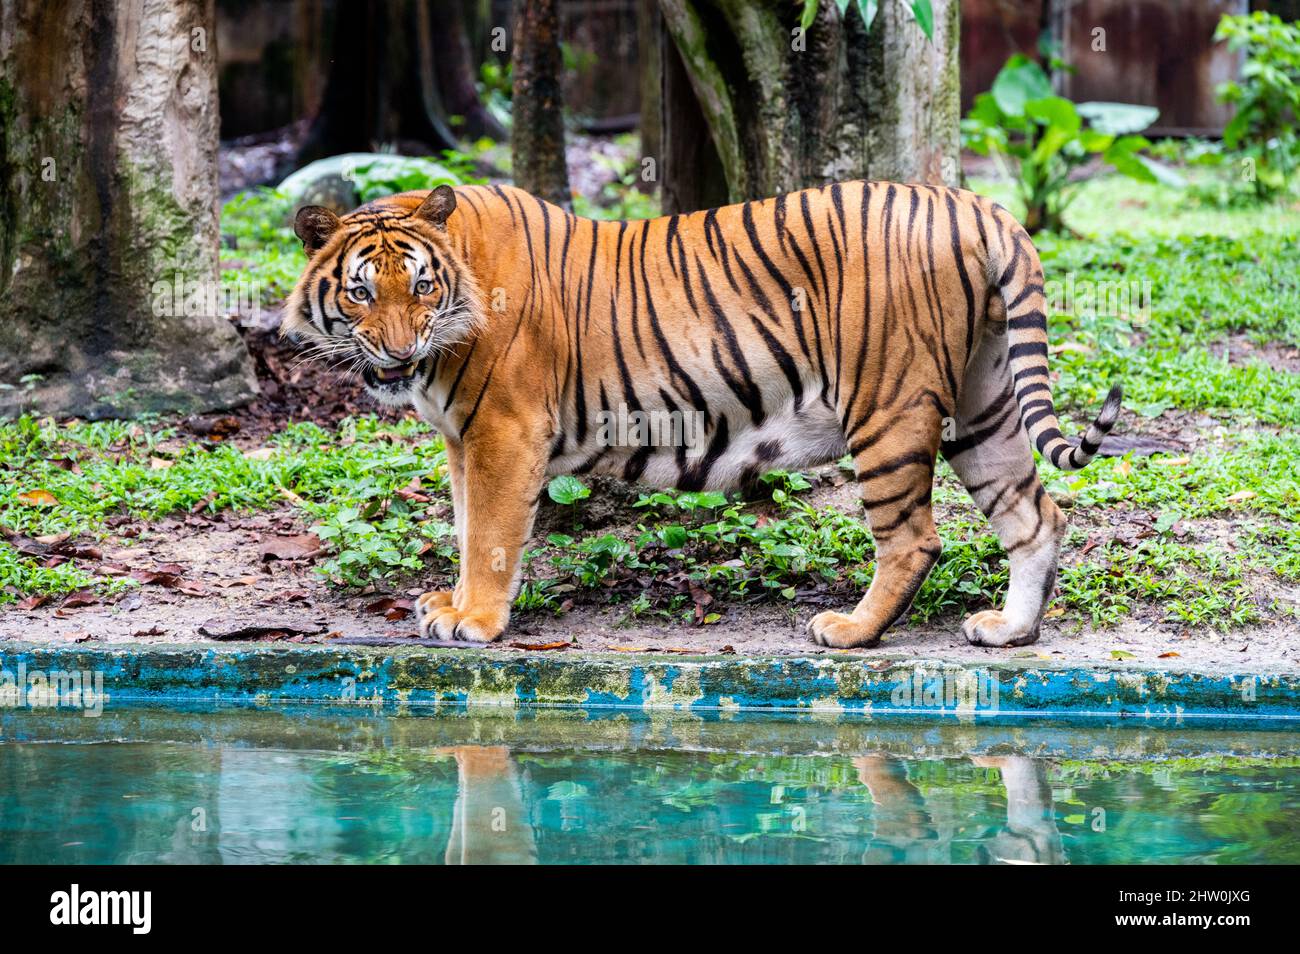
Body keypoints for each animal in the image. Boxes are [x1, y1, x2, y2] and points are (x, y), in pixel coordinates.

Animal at [282, 180, 1118, 649]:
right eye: (361, 292)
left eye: (421, 286)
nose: (398, 348)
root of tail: (977, 205)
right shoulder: (463, 439)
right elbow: (463, 530)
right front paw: (451, 604)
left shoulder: (503, 432)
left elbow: (489, 537)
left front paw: (475, 622)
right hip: (983, 402)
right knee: (1036, 515)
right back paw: (1010, 630)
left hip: (888, 402)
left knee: (914, 538)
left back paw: (851, 632)